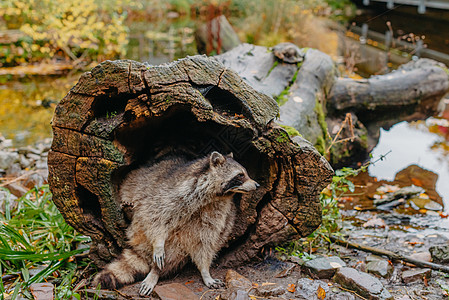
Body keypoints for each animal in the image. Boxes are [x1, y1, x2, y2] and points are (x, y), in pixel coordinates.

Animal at [92, 151, 260, 296]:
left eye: (246, 172)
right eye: (240, 175)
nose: (258, 185)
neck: (214, 196)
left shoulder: (219, 212)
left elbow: (206, 242)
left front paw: (205, 271)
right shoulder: (173, 192)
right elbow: (154, 216)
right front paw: (158, 243)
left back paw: (156, 272)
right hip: (136, 216)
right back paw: (154, 270)